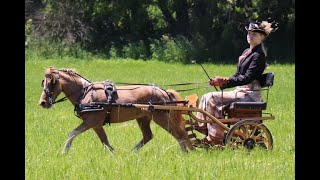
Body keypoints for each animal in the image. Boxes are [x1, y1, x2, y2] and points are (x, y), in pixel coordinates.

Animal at [38, 67, 194, 154]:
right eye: (43, 82)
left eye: (52, 82)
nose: (43, 102)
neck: (85, 93)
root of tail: (163, 91)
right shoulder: (96, 125)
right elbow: (105, 141)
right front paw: (114, 154)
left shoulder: (91, 122)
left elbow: (72, 133)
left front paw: (64, 151)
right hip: (143, 118)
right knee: (148, 136)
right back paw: (131, 153)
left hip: (161, 117)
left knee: (179, 134)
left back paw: (186, 153)